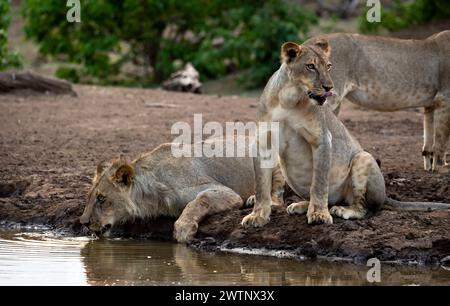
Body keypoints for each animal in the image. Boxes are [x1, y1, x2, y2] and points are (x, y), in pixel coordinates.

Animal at [77, 137, 282, 243]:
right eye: (89, 198)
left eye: (101, 198)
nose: (83, 222)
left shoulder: (224, 191)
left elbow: (199, 201)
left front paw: (184, 230)